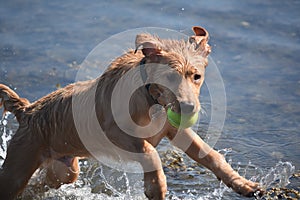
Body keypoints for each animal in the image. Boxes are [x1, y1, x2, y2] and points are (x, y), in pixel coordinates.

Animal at [0, 27, 260, 200]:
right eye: (169, 77)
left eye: (196, 76)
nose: (188, 108)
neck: (150, 99)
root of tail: (27, 111)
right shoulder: (115, 133)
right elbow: (150, 153)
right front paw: (156, 187)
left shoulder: (176, 130)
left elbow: (212, 156)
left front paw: (243, 184)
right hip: (18, 167)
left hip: (65, 169)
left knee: (40, 185)